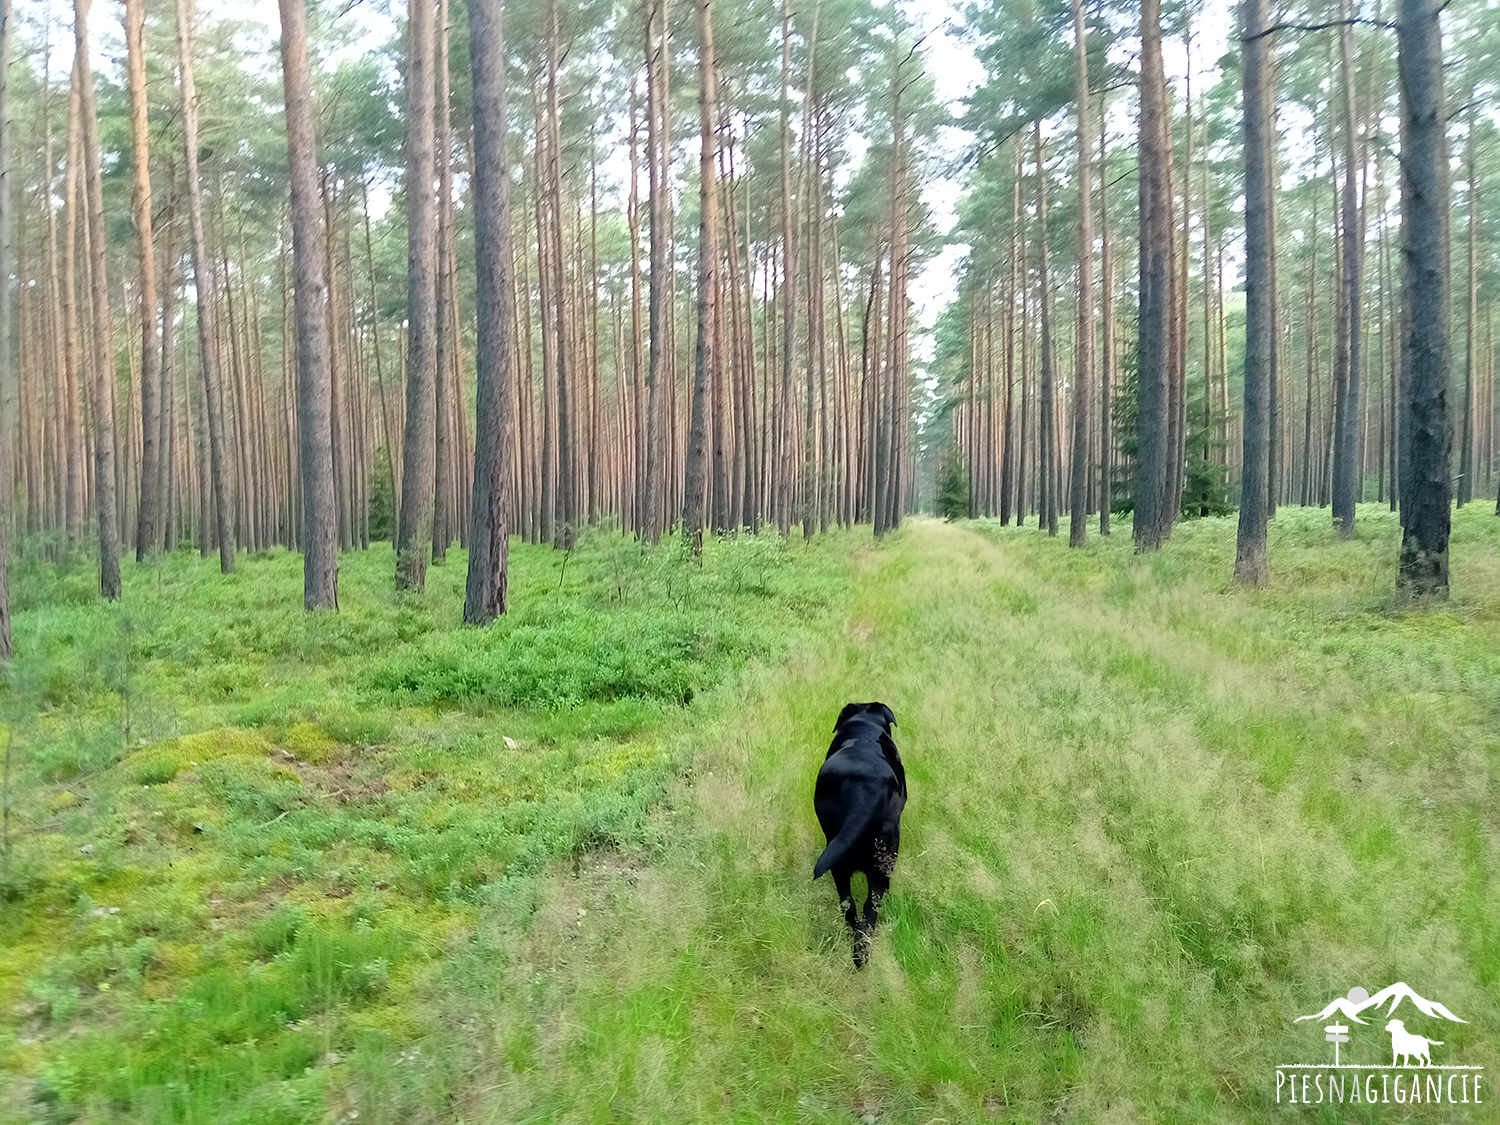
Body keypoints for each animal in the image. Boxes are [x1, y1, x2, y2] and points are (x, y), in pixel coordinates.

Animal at [816, 702, 906, 966]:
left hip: (838, 865)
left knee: (850, 908)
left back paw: (858, 955)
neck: (864, 727)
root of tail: (864, 789)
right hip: (884, 860)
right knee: (871, 908)